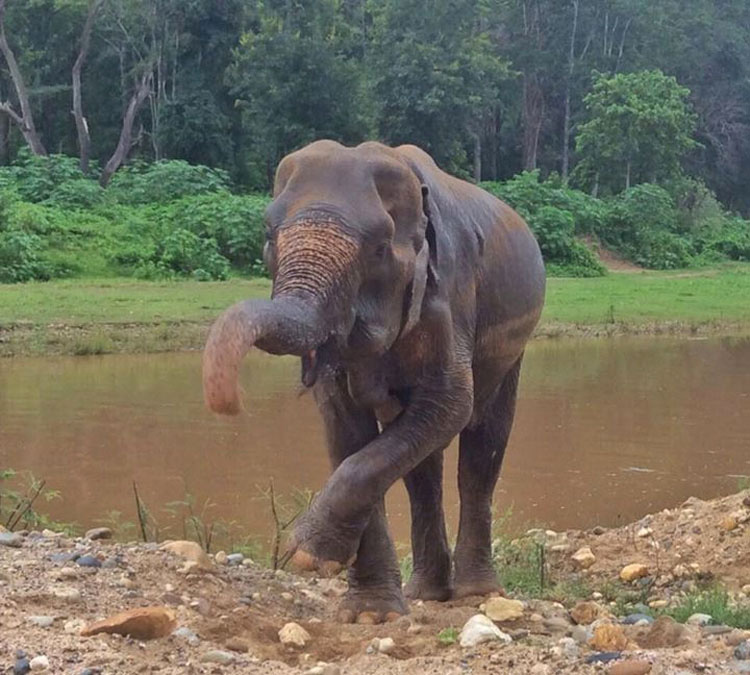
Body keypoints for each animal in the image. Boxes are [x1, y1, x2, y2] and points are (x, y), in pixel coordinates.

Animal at [206, 140, 548, 624]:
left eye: (380, 248)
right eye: (268, 234)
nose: (231, 403)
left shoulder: (447, 296)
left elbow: (451, 403)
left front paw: (306, 555)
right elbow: (347, 430)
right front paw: (370, 615)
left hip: (512, 345)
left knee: (482, 449)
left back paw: (476, 594)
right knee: (422, 473)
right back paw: (427, 594)